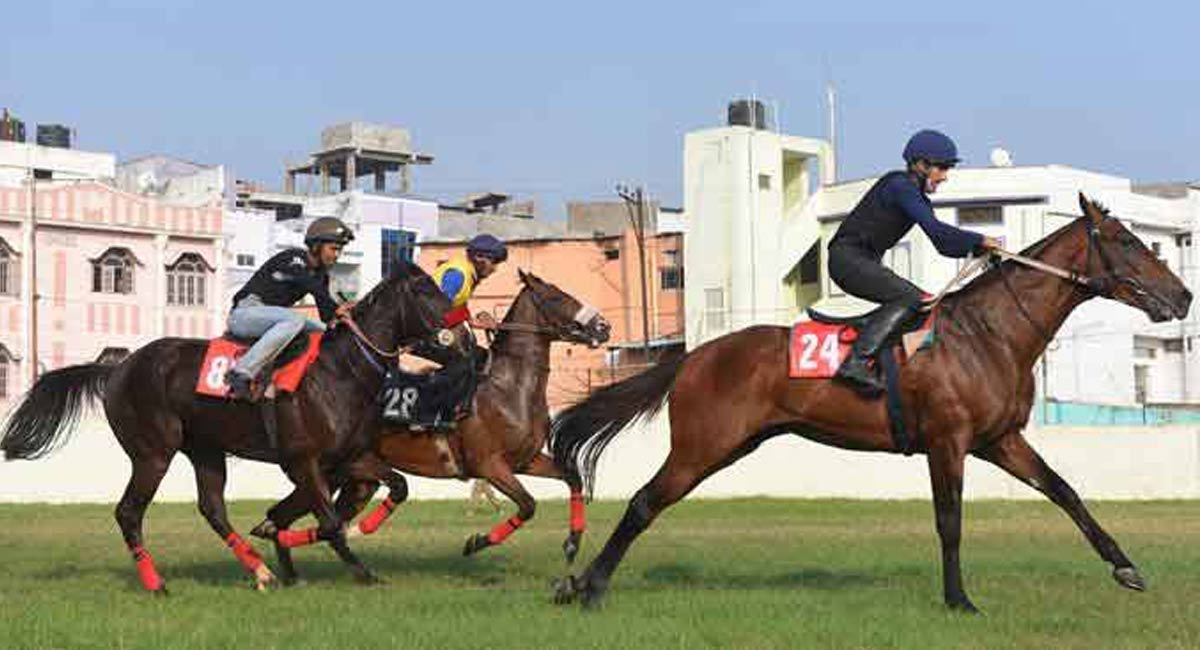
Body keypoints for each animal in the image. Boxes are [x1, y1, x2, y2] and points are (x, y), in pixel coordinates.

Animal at [1, 261, 451, 597]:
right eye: (427, 291)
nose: (459, 328)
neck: (341, 371)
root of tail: (117, 368)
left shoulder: (349, 457)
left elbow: (396, 487)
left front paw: (339, 544)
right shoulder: (303, 461)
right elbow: (330, 523)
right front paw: (360, 571)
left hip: (205, 450)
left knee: (213, 509)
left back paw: (260, 572)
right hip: (152, 452)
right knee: (129, 512)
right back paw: (157, 584)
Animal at [249, 269, 614, 585]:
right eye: (556, 297)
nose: (603, 326)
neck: (508, 388)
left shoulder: (526, 460)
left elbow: (572, 478)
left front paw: (572, 542)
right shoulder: (490, 465)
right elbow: (527, 506)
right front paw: (476, 541)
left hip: (352, 478)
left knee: (288, 517)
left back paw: (291, 567)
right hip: (328, 469)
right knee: (294, 518)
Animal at [549, 196, 1190, 614]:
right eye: (1127, 242)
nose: (1183, 296)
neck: (990, 332)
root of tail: (696, 355)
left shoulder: (1000, 441)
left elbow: (1064, 491)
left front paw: (1124, 566)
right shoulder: (948, 442)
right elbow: (950, 521)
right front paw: (959, 600)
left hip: (730, 446)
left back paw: (582, 585)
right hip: (703, 446)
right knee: (643, 503)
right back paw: (588, 588)